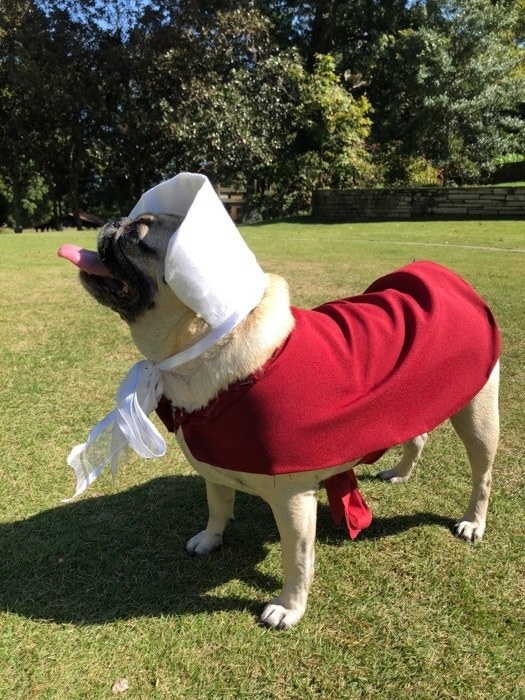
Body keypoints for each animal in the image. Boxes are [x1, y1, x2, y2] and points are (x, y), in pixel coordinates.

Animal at [57, 180, 500, 628]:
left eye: (139, 235)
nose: (114, 221)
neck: (208, 344)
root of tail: (448, 278)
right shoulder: (215, 468)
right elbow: (218, 505)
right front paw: (211, 539)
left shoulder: (292, 501)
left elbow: (297, 558)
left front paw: (290, 607)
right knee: (418, 435)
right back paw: (400, 473)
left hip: (478, 416)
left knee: (482, 476)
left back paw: (472, 523)